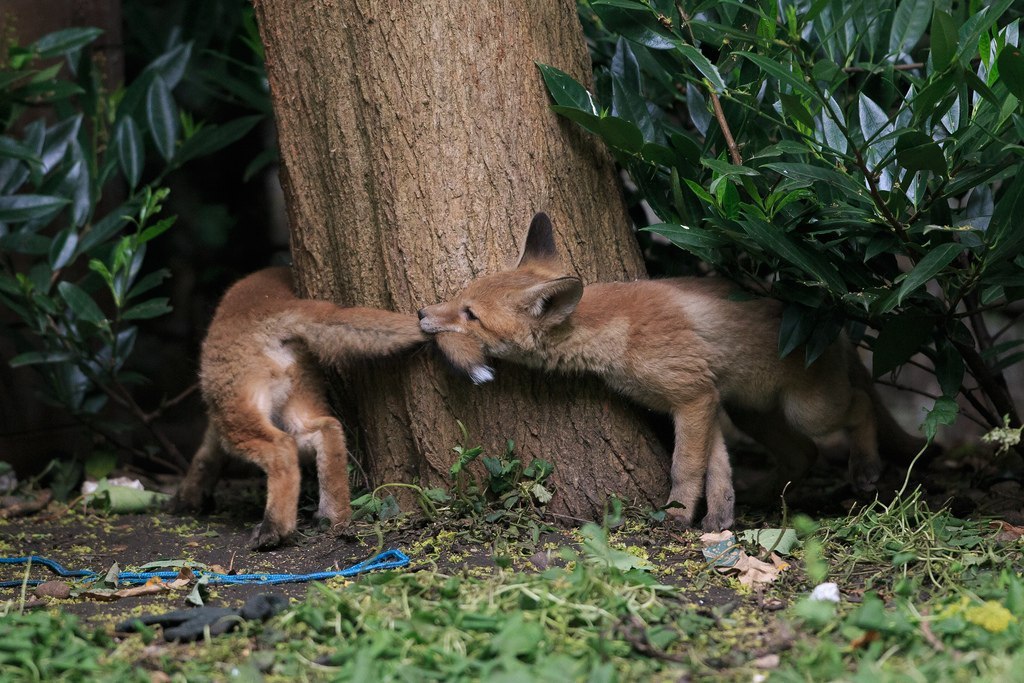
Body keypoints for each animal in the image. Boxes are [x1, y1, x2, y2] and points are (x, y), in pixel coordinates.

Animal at [172, 266, 423, 548]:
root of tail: (277, 305)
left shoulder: (216, 422)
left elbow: (204, 456)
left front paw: (188, 497)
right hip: (296, 403)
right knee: (328, 429)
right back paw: (334, 517)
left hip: (232, 414)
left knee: (281, 449)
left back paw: (274, 530)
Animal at [411, 211, 925, 528]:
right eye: (460, 297)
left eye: (470, 315)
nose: (419, 313)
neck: (617, 332)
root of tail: (833, 322)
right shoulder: (707, 402)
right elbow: (716, 470)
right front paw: (719, 520)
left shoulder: (692, 398)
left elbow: (685, 467)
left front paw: (677, 516)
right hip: (752, 412)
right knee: (803, 453)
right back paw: (763, 494)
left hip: (808, 409)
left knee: (860, 407)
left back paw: (866, 467)